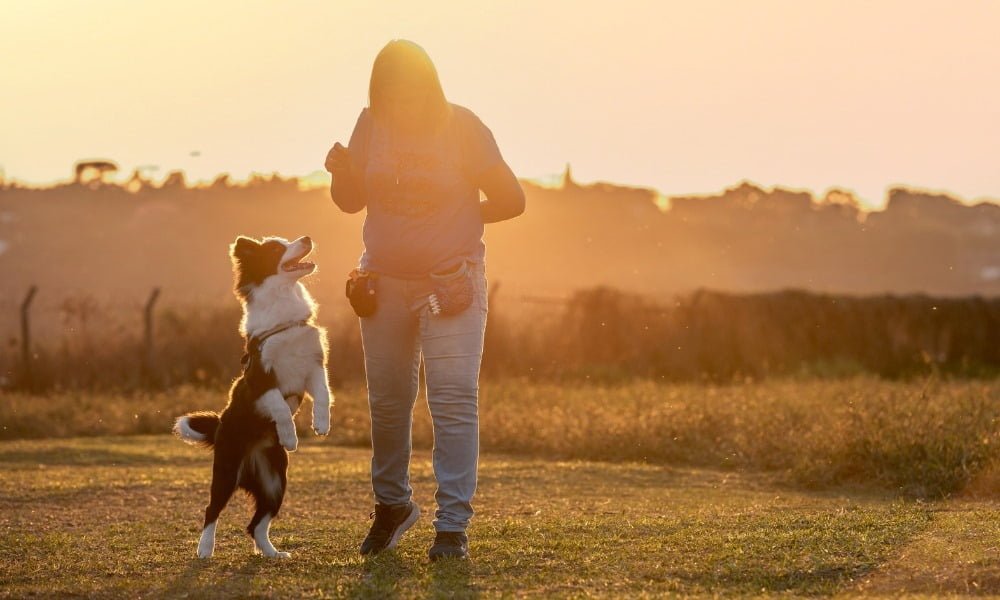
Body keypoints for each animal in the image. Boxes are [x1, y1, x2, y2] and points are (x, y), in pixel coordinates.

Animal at [170, 233, 330, 556]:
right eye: (277, 248)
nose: (307, 237)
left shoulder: (313, 368)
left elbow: (323, 394)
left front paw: (322, 423)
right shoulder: (260, 381)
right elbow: (280, 406)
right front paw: (290, 436)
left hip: (275, 482)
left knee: (256, 524)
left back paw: (272, 553)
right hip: (226, 471)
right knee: (211, 510)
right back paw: (205, 549)